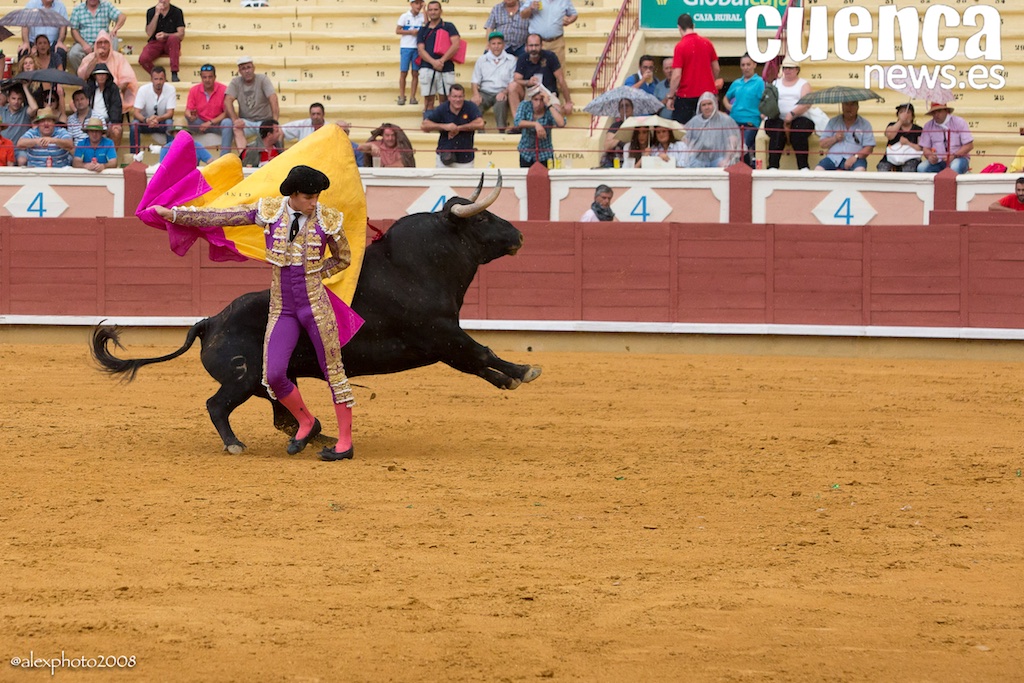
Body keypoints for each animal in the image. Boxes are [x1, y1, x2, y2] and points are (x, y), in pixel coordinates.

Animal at [91, 173, 542, 453]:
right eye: (483, 217)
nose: (519, 236)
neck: (417, 266)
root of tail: (208, 322)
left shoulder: (443, 343)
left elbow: (475, 363)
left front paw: (508, 380)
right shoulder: (442, 333)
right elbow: (482, 351)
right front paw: (524, 371)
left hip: (268, 381)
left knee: (281, 414)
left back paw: (316, 436)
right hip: (242, 379)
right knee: (217, 405)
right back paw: (238, 443)